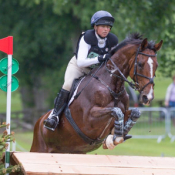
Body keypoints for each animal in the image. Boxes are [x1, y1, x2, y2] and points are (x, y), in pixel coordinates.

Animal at [30, 32, 163, 153]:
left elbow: (135, 112)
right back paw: (51, 121)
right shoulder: (89, 119)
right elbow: (116, 111)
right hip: (39, 148)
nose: (148, 97)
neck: (112, 87)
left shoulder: (125, 110)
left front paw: (117, 135)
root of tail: (39, 122)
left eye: (157, 66)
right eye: (140, 64)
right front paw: (116, 136)